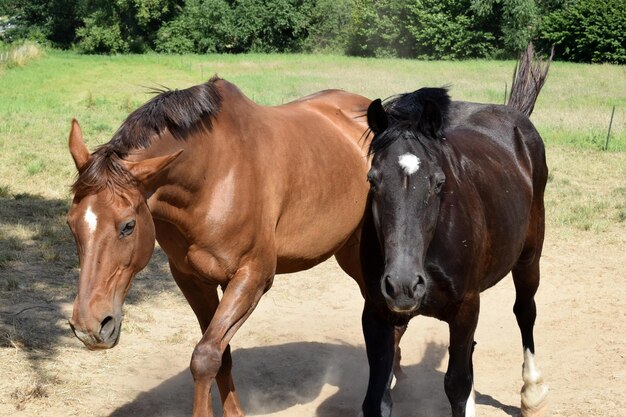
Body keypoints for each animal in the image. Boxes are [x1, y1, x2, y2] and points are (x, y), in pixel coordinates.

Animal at [65, 75, 372, 416]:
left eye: (128, 226)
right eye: (71, 223)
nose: (89, 327)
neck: (213, 176)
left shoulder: (251, 279)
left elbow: (204, 357)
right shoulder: (192, 280)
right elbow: (221, 355)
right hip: (349, 251)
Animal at [358, 49, 548, 416]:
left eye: (438, 181)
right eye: (372, 180)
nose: (403, 284)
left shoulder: (465, 307)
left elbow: (457, 385)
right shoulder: (376, 312)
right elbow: (377, 396)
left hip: (529, 255)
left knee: (526, 310)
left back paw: (532, 392)